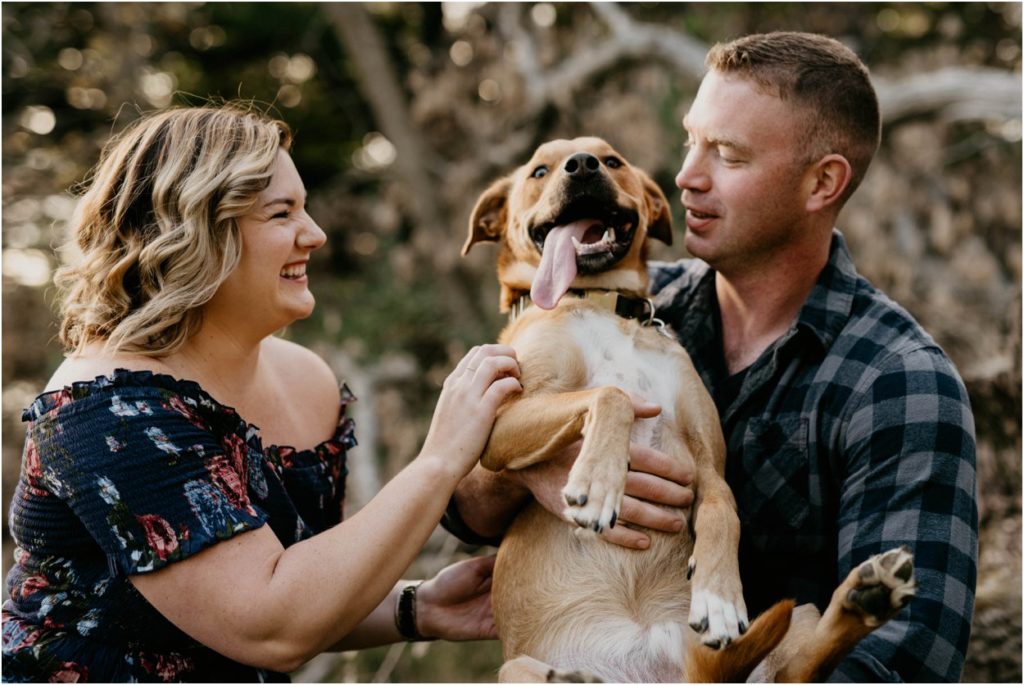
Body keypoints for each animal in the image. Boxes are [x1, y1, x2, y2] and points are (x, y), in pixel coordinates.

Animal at [460, 136, 917, 679]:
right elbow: (612, 395)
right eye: (539, 171)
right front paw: (599, 482)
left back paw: (869, 596)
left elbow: (724, 510)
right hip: (513, 669)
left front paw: (719, 598)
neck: (603, 303)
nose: (583, 166)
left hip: (799, 617)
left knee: (801, 668)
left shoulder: (707, 460)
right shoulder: (499, 423)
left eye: (611, 160)